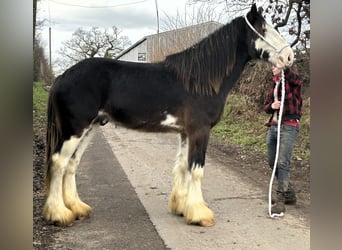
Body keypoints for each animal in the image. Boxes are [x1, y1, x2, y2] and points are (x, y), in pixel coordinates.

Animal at [43, 3, 294, 227]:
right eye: (264, 30)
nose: (290, 57)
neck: (199, 81)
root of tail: (62, 77)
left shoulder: (185, 133)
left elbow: (182, 167)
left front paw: (182, 207)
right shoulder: (199, 131)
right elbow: (196, 170)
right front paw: (200, 215)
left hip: (90, 128)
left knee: (72, 164)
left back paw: (77, 208)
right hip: (74, 130)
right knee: (58, 163)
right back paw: (59, 214)